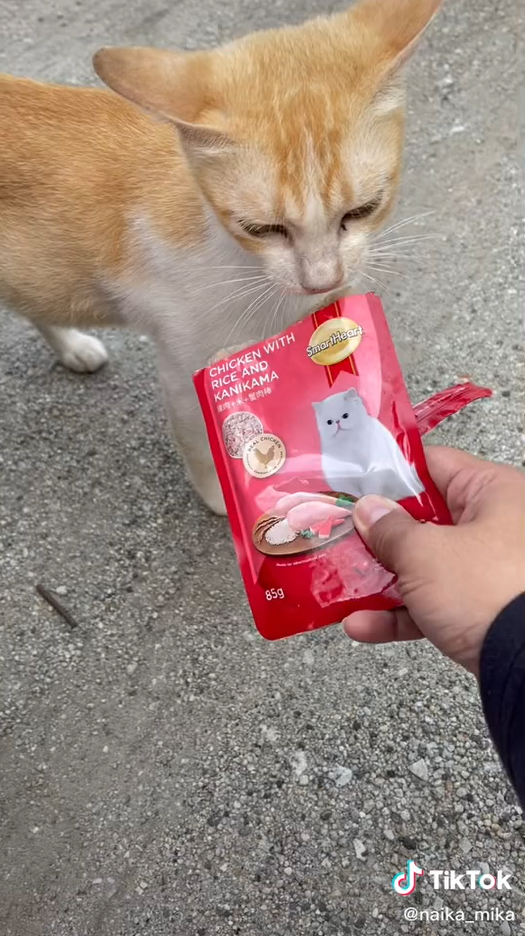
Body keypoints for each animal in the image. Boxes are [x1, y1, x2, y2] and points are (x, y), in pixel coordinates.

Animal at [0, 0, 442, 512]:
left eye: (363, 209)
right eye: (262, 229)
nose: (322, 279)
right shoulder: (185, 370)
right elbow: (200, 440)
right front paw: (228, 496)